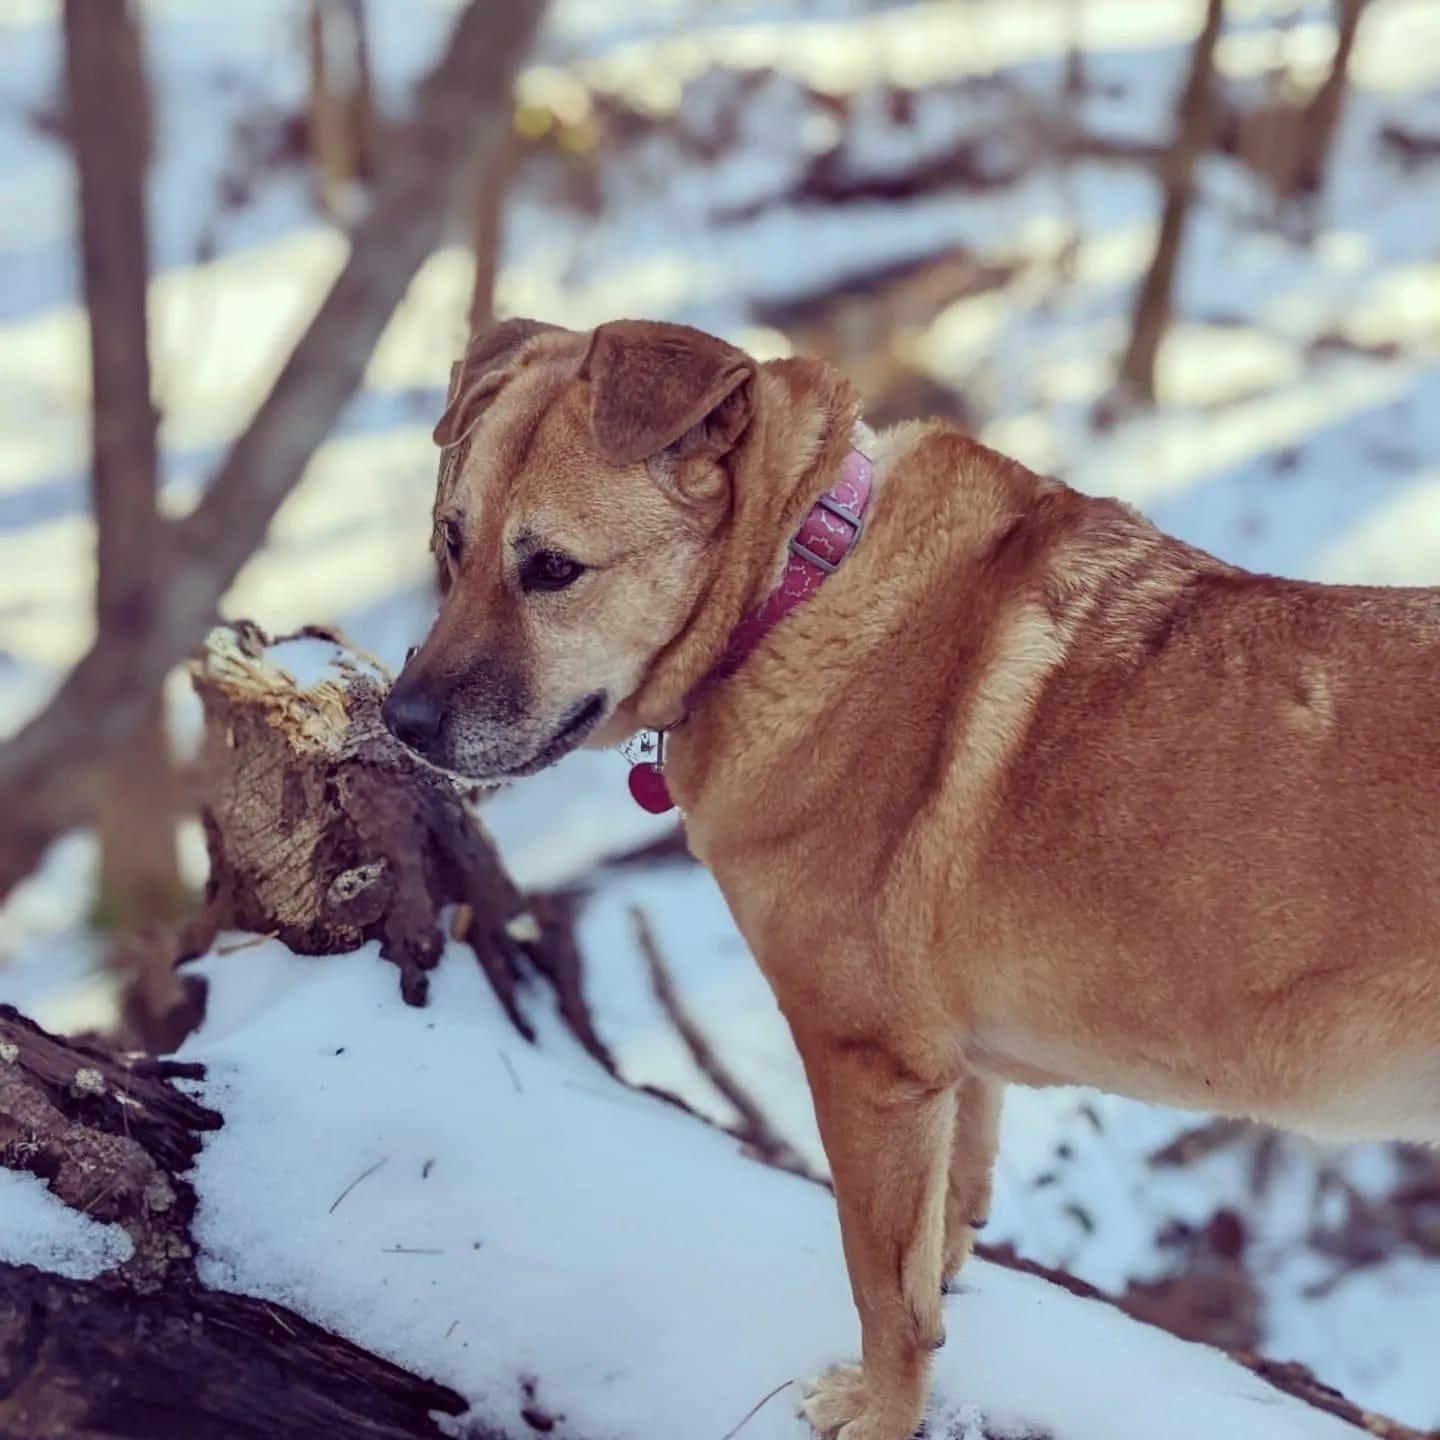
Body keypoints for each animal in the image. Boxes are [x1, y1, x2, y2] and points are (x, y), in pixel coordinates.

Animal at [383, 321, 1440, 1440]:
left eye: (551, 568)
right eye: (450, 538)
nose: (399, 721)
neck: (794, 581)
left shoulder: (869, 1067)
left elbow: (883, 1289)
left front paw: (884, 1411)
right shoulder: (951, 1068)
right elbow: (949, 1228)